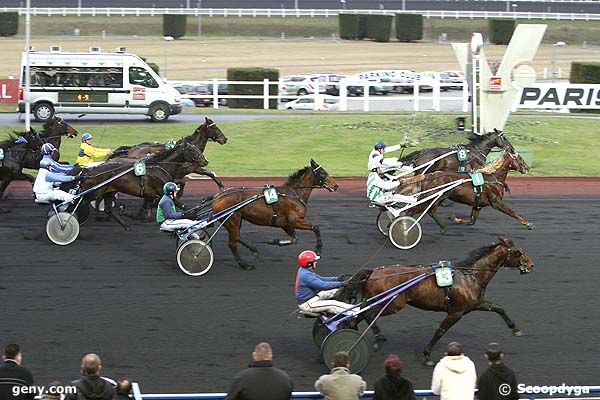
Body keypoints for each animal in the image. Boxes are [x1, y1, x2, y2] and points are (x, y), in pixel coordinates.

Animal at [209, 159, 338, 268]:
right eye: (322, 173)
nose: (336, 185)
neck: (293, 194)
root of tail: (219, 195)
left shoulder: (285, 224)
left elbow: (295, 239)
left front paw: (275, 241)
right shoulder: (295, 221)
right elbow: (316, 228)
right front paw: (318, 250)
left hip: (236, 220)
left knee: (237, 237)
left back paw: (253, 250)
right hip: (232, 220)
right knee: (232, 243)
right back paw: (244, 264)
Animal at [338, 238, 536, 366]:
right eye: (517, 252)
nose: (531, 264)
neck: (470, 275)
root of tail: (373, 272)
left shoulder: (476, 305)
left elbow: (499, 308)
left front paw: (515, 329)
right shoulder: (456, 312)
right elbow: (440, 331)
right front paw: (427, 356)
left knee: (358, 315)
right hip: (392, 304)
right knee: (368, 313)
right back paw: (376, 339)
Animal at [400, 146, 532, 233]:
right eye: (520, 158)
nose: (527, 168)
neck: (492, 178)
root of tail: (428, 176)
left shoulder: (478, 205)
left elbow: (471, 222)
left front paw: (454, 218)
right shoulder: (496, 203)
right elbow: (513, 213)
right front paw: (527, 224)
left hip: (437, 199)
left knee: (430, 212)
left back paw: (442, 227)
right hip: (430, 198)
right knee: (410, 212)